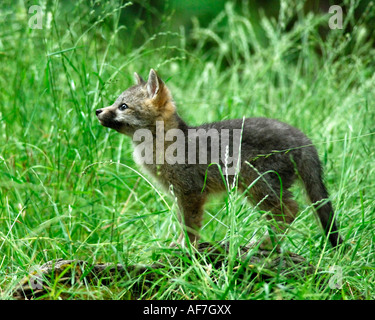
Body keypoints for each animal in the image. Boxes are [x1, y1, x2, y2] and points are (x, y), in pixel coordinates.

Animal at [96, 69, 344, 249]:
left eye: (123, 106)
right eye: (116, 103)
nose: (97, 111)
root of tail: (302, 137)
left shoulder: (191, 192)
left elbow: (190, 225)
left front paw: (186, 248)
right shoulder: (179, 194)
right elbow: (182, 223)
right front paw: (178, 244)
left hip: (258, 188)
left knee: (290, 210)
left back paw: (265, 244)